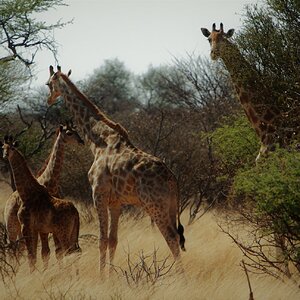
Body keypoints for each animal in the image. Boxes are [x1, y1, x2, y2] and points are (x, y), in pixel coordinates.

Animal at [3, 124, 83, 270]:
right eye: (69, 133)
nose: (81, 141)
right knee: (13, 250)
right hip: (12, 227)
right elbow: (43, 253)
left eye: (74, 132)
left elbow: (43, 253)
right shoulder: (38, 229)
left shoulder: (33, 227)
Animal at [45, 65, 185, 274]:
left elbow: (102, 241)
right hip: (170, 205)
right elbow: (113, 240)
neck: (98, 141)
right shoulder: (116, 202)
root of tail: (172, 179)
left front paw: (102, 277)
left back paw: (180, 277)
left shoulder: (98, 194)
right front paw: (111, 275)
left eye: (48, 83)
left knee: (171, 237)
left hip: (154, 204)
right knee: (176, 235)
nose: (48, 100)